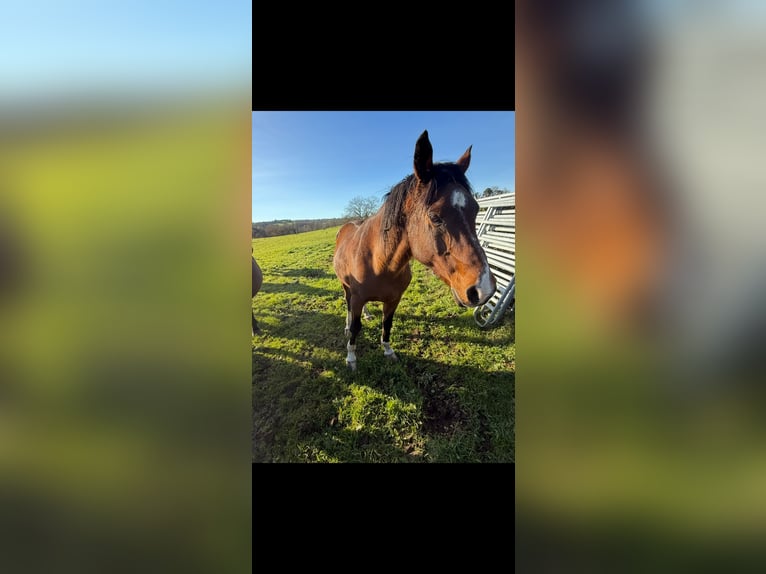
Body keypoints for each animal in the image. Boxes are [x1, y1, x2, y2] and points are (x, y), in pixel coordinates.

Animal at [333, 130, 497, 371]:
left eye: (476, 210)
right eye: (435, 217)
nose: (484, 289)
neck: (380, 262)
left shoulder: (393, 300)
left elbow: (387, 324)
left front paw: (388, 351)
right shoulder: (358, 296)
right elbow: (355, 327)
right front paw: (351, 358)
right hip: (345, 286)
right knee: (347, 306)